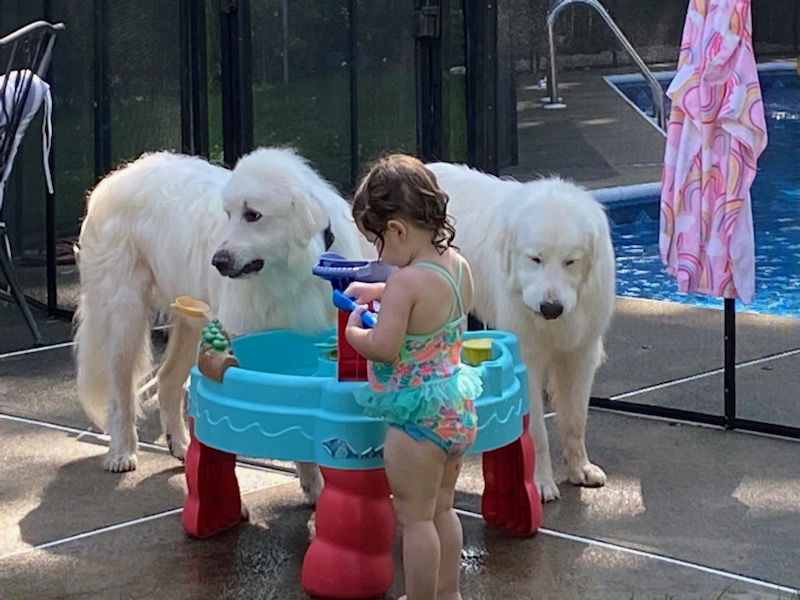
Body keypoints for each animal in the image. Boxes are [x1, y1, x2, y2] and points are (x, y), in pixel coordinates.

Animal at [75, 146, 362, 502]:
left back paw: (181, 446)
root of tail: (116, 178)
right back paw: (122, 452)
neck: (292, 271)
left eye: (252, 215)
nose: (218, 261)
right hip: (124, 316)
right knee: (120, 393)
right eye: (228, 214)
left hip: (191, 320)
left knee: (168, 379)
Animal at [428, 162, 616, 500]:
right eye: (535, 259)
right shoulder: (528, 357)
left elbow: (576, 420)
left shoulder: (580, 354)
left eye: (570, 261)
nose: (551, 308)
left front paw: (580, 469)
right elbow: (537, 432)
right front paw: (540, 482)